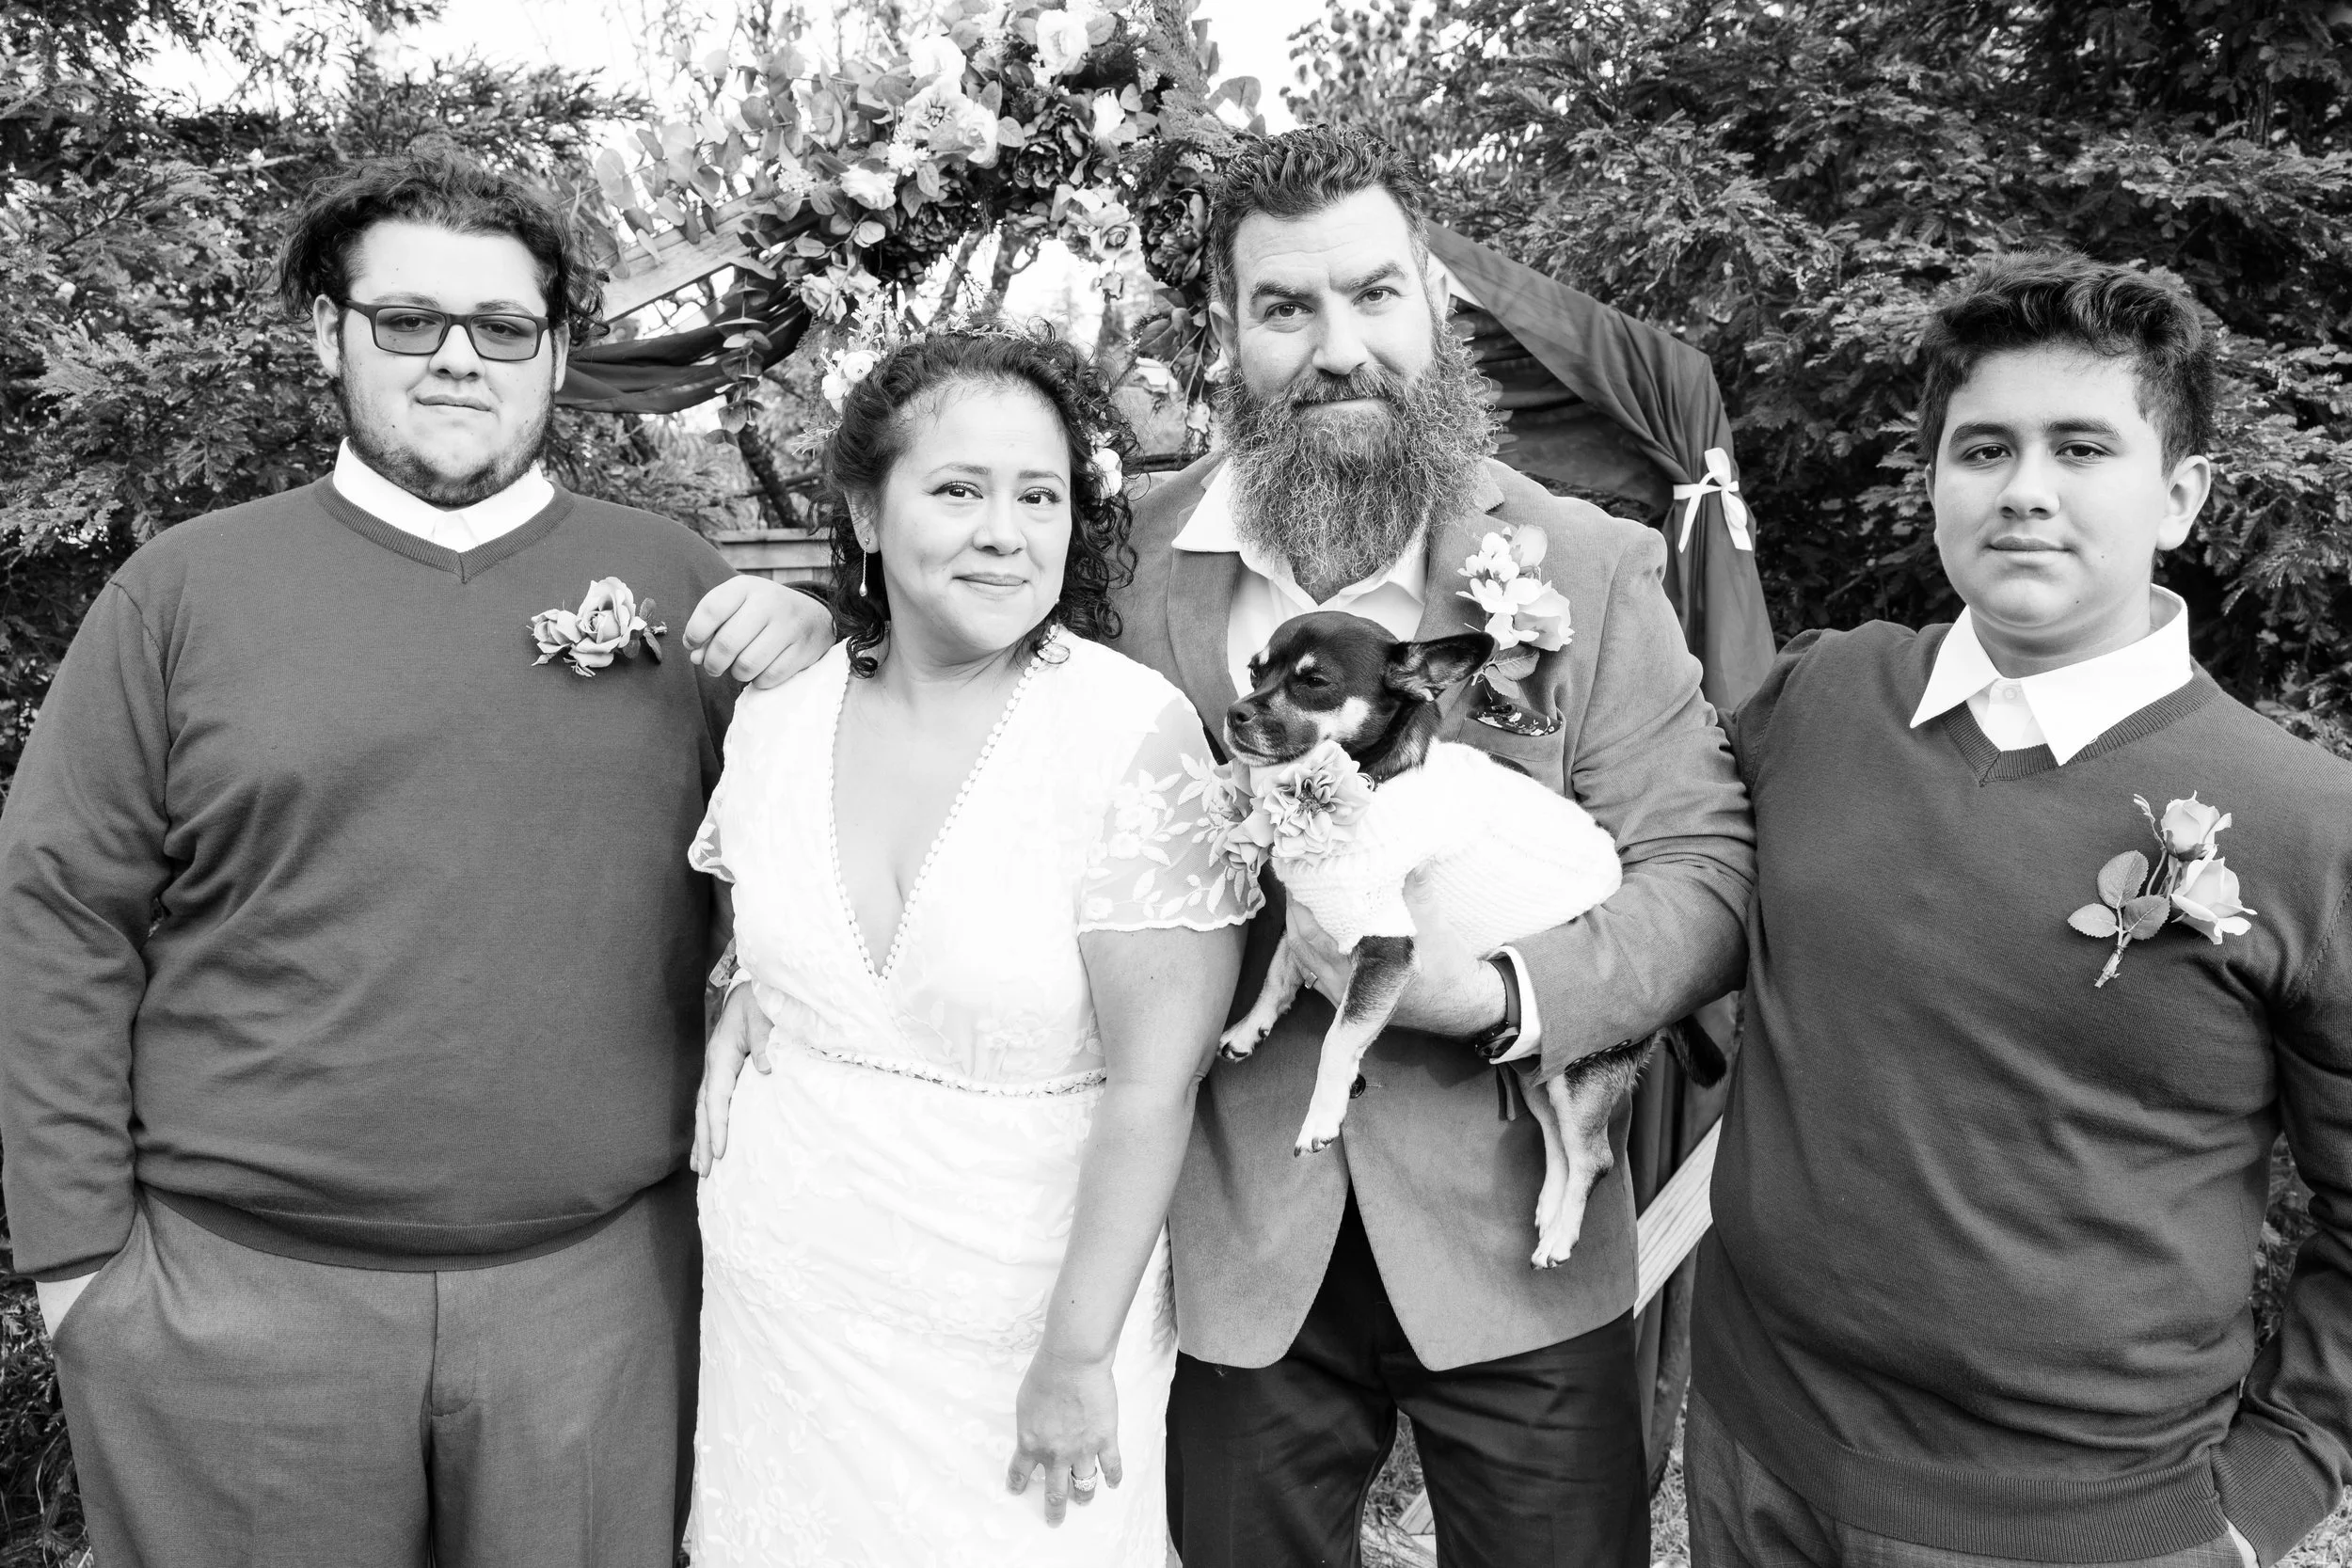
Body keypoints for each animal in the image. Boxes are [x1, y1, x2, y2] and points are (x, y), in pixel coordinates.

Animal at [1217, 610, 1725, 1268]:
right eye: (1256, 672)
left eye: (1314, 683)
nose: (1236, 711)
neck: (1371, 783)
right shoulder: (1315, 914)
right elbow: (1277, 973)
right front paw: (1248, 1028)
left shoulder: (1384, 944)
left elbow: (1338, 1039)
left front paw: (1320, 1119)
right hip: (1541, 1065)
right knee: (1556, 1139)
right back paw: (1549, 1212)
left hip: (1581, 1073)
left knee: (1595, 1157)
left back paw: (1561, 1235)